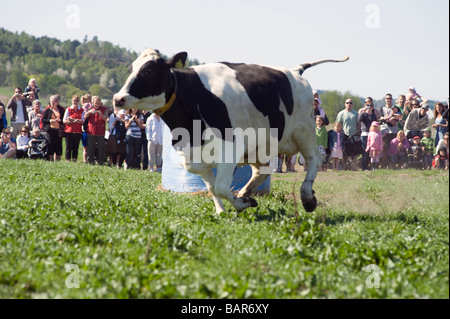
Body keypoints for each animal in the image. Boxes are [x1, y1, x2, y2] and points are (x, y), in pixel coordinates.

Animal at [112, 49, 348, 215]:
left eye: (148, 71)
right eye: (131, 69)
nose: (117, 98)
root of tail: (295, 70)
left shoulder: (230, 148)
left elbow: (222, 187)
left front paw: (241, 204)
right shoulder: (194, 158)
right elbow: (212, 187)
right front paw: (223, 209)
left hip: (304, 129)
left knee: (314, 159)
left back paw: (307, 198)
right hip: (259, 146)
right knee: (263, 171)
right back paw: (245, 192)